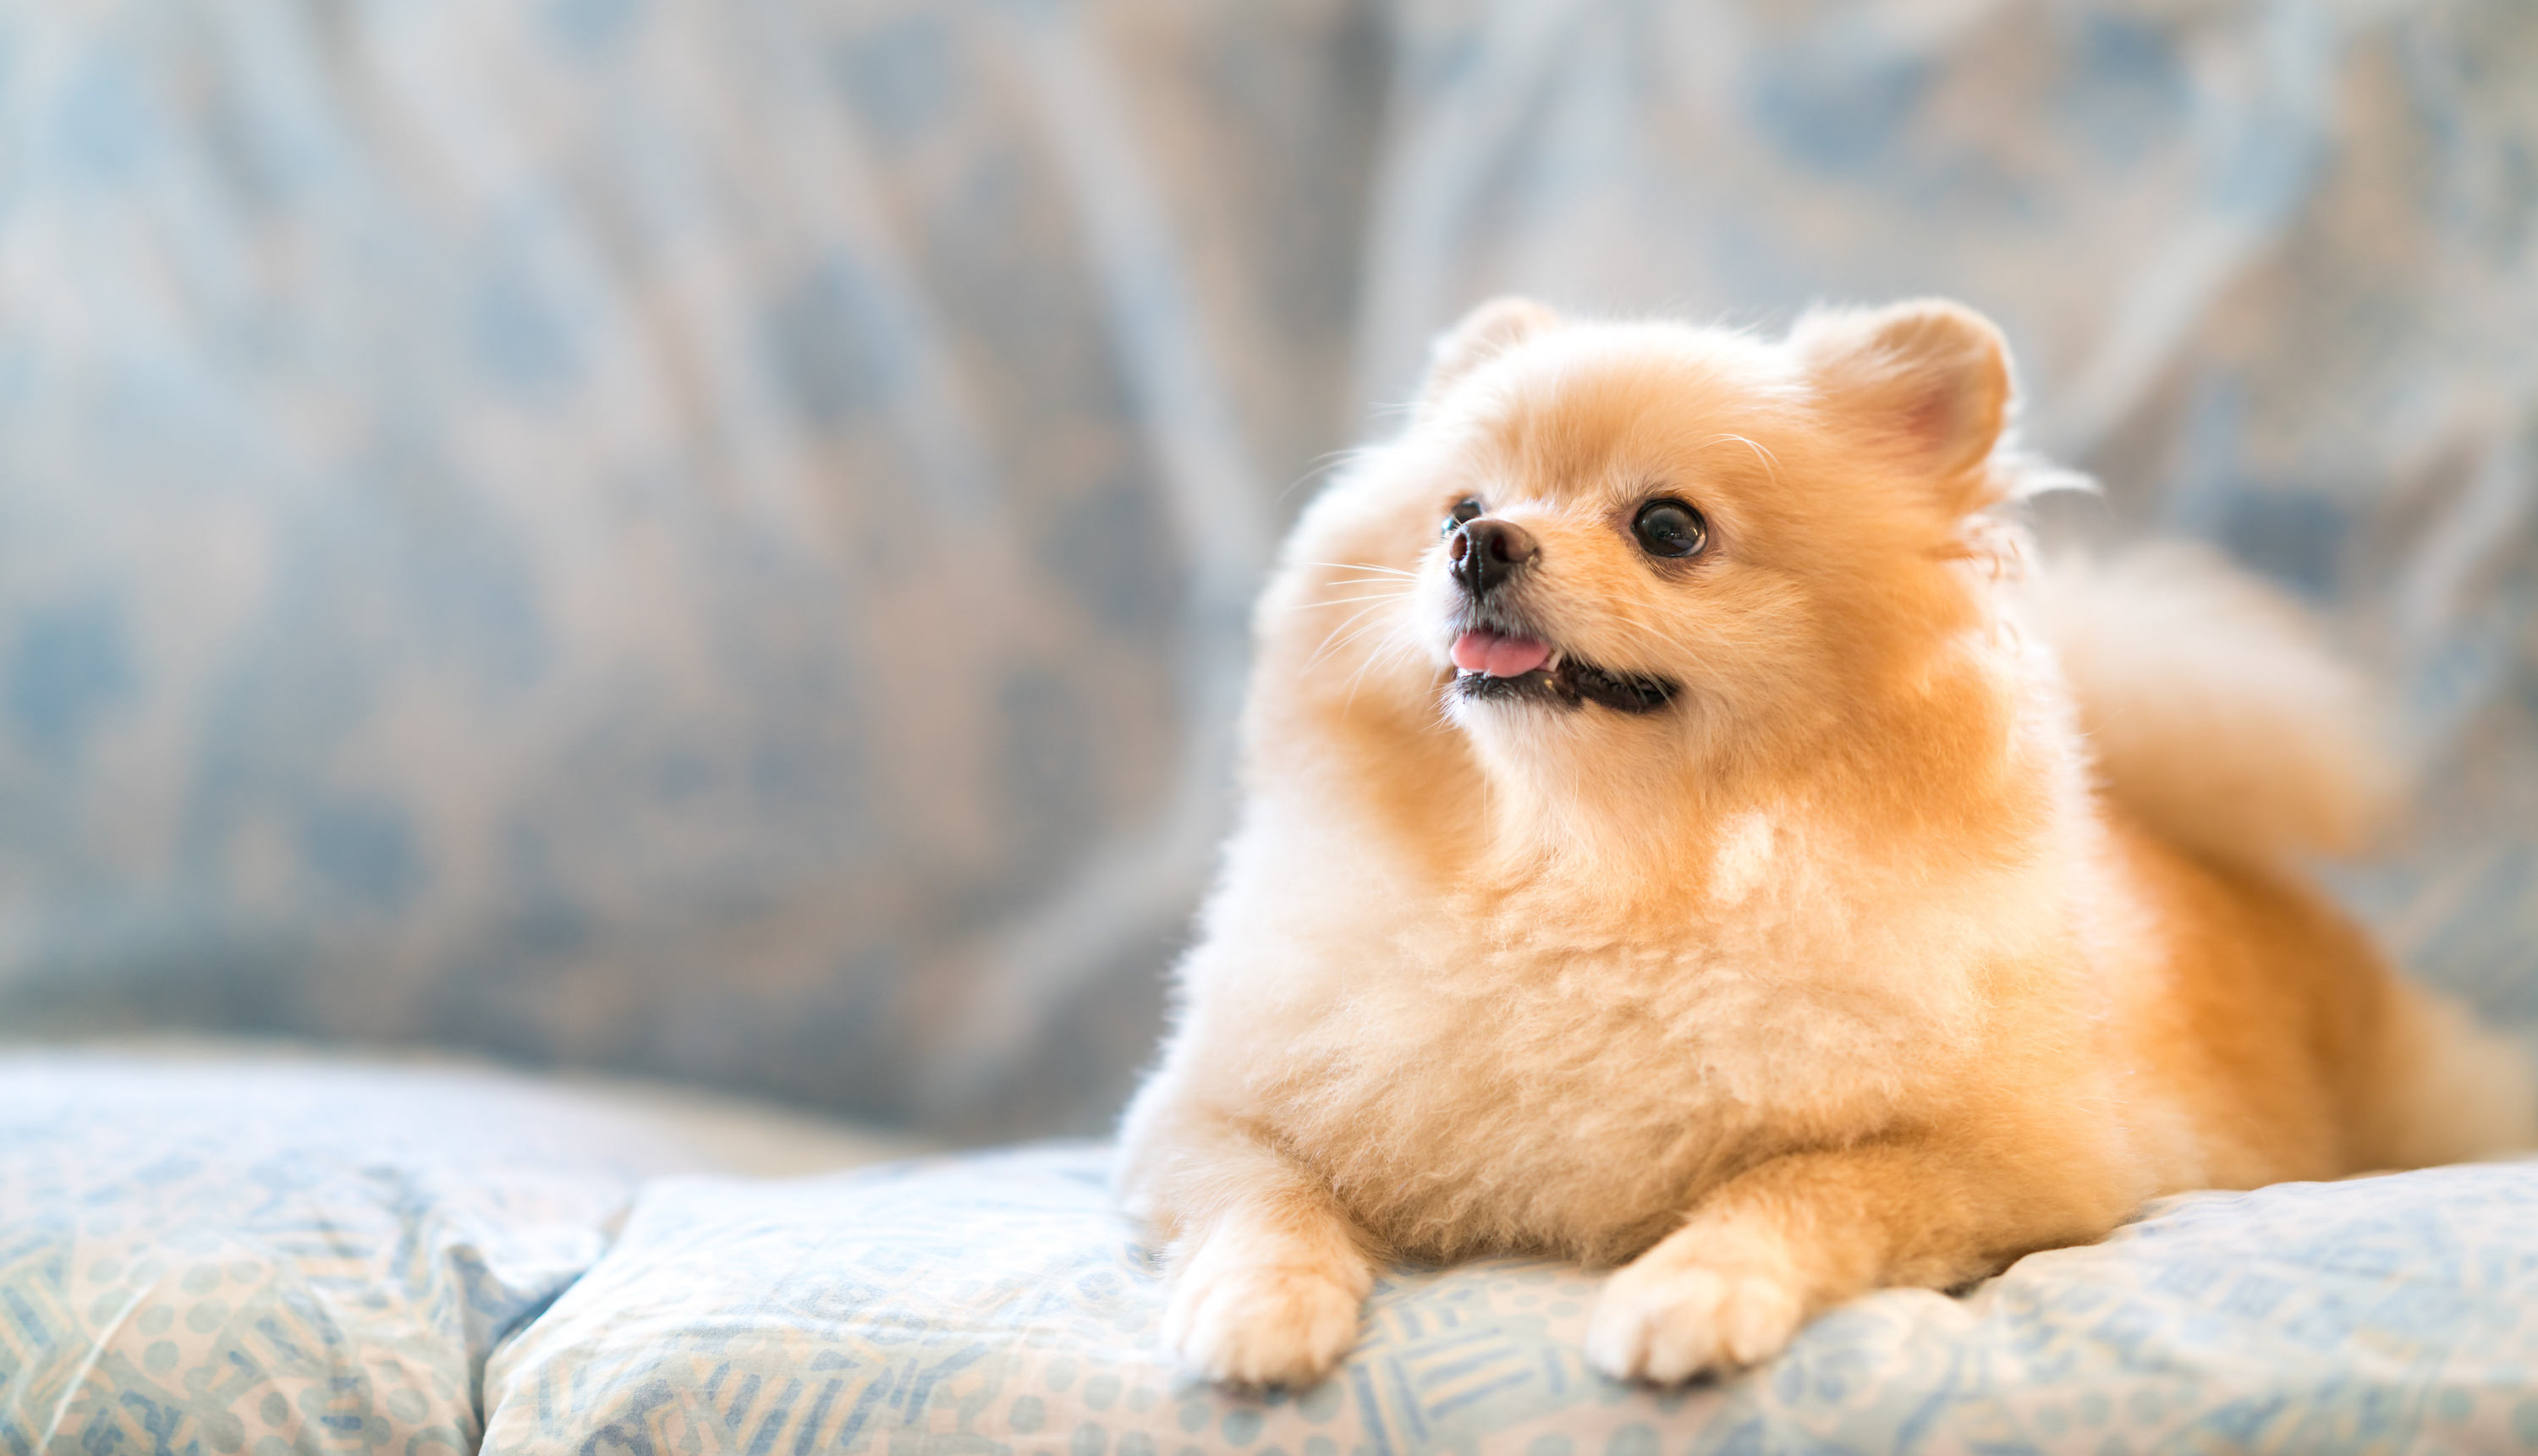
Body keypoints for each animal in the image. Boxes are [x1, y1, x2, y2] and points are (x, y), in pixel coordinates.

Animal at [1117, 294, 2538, 1390]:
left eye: (1669, 528)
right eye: (1458, 504)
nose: (1479, 544)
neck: (1593, 871)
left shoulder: (2018, 1161)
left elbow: (1800, 1187)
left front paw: (1689, 1289)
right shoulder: (1203, 1112)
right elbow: (1265, 1200)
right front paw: (1257, 1307)